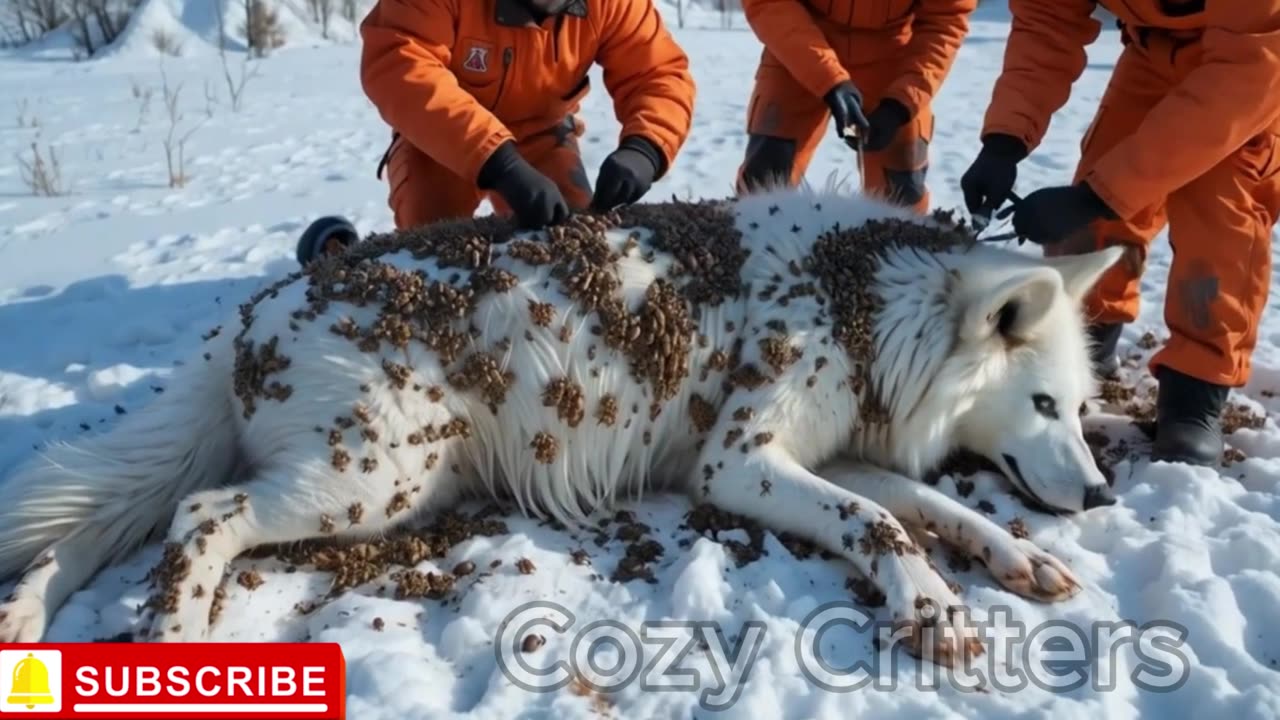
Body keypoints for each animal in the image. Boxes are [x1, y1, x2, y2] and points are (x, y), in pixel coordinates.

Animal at [0, 183, 1121, 661]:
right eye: (1044, 405)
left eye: (1076, 408)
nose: (1104, 493)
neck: (870, 307)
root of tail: (252, 312)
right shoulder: (737, 466)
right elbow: (883, 522)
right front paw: (931, 606)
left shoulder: (825, 454)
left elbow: (933, 509)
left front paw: (1016, 562)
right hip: (370, 485)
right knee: (198, 514)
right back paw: (178, 633)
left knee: (110, 524)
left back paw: (26, 613)